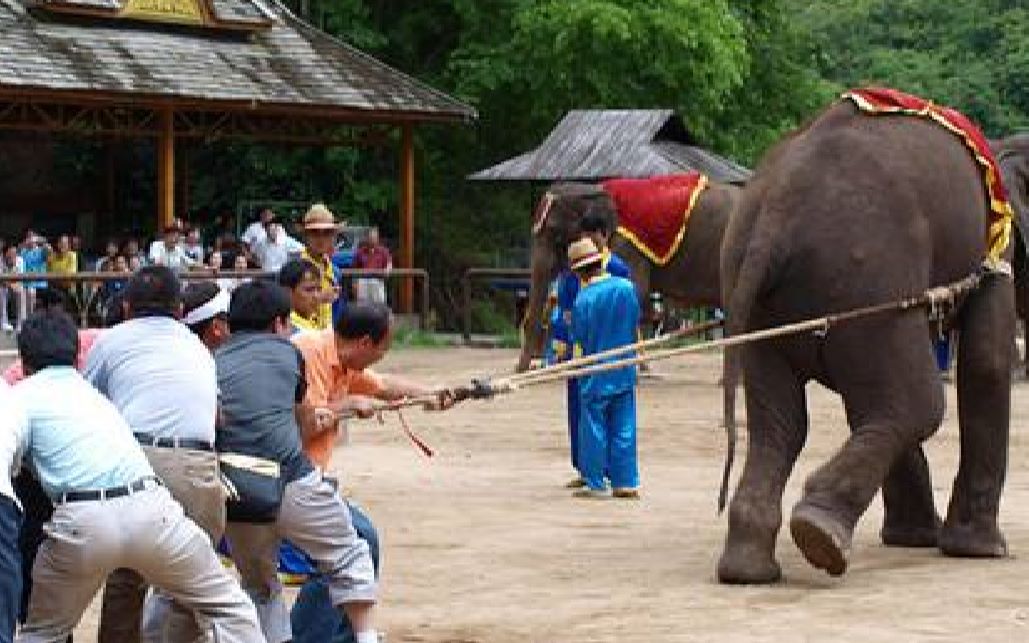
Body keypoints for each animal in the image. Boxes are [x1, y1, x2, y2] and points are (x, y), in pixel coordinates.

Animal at [720, 91, 1016, 588]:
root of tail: (776, 212)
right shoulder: (994, 246)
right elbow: (988, 361)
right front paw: (983, 552)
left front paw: (917, 541)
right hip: (871, 280)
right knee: (917, 403)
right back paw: (820, 536)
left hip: (758, 298)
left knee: (782, 422)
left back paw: (750, 568)